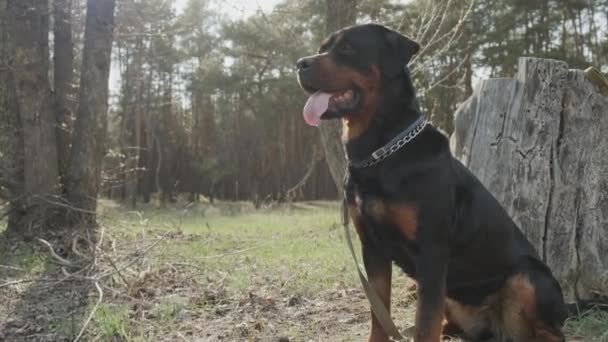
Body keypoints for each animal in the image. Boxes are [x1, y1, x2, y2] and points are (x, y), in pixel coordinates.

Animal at [296, 24, 568, 342]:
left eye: (348, 48)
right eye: (322, 47)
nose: (300, 64)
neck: (380, 152)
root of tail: (497, 324)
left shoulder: (431, 251)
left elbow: (425, 323)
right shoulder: (372, 249)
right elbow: (379, 313)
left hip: (530, 276)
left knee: (550, 331)